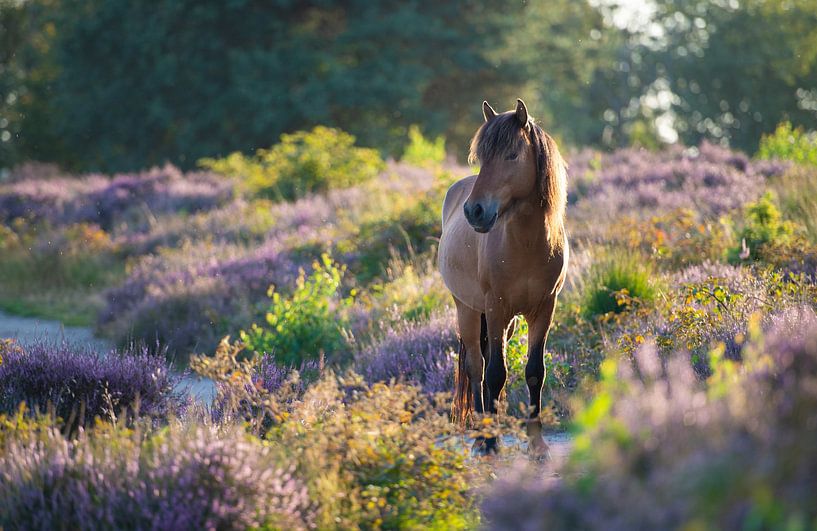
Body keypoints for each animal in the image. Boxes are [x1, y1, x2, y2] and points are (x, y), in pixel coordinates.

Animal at [438, 99, 568, 455]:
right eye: (482, 157)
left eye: (511, 155)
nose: (475, 212)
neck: (528, 245)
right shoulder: (496, 307)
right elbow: (496, 372)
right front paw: (490, 441)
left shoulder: (543, 309)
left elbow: (535, 371)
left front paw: (537, 443)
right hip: (469, 310)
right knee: (476, 367)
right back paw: (482, 434)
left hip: (505, 322)